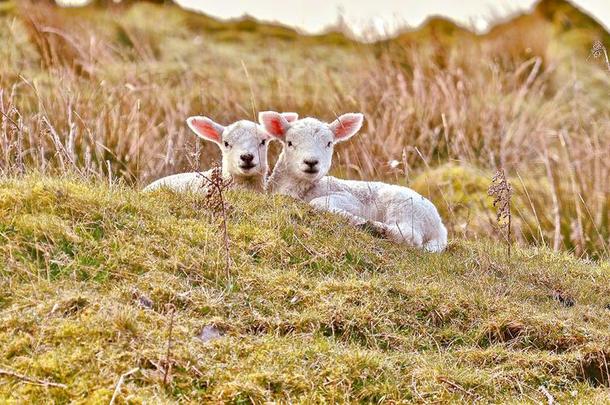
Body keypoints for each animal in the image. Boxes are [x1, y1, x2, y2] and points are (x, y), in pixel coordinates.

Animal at [258, 109, 446, 249]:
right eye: (289, 143)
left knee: (410, 235)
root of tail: (440, 228)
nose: (311, 162)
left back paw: (373, 227)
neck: (301, 189)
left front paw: (352, 218)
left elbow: (318, 203)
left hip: (406, 209)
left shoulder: (349, 199)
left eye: (329, 143)